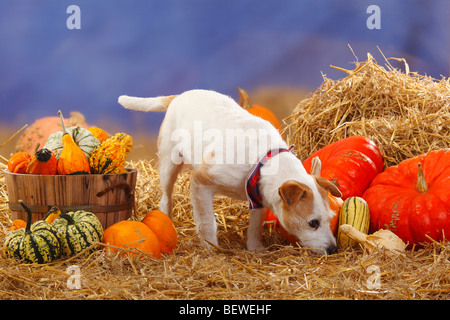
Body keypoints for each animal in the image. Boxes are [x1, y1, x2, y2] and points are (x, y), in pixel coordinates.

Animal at [118, 89, 342, 254]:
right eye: (313, 223)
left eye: (331, 217)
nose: (333, 249)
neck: (264, 159)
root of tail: (178, 96)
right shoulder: (201, 183)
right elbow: (208, 222)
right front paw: (211, 248)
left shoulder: (258, 195)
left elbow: (255, 225)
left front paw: (255, 247)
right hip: (169, 163)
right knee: (166, 198)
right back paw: (167, 220)